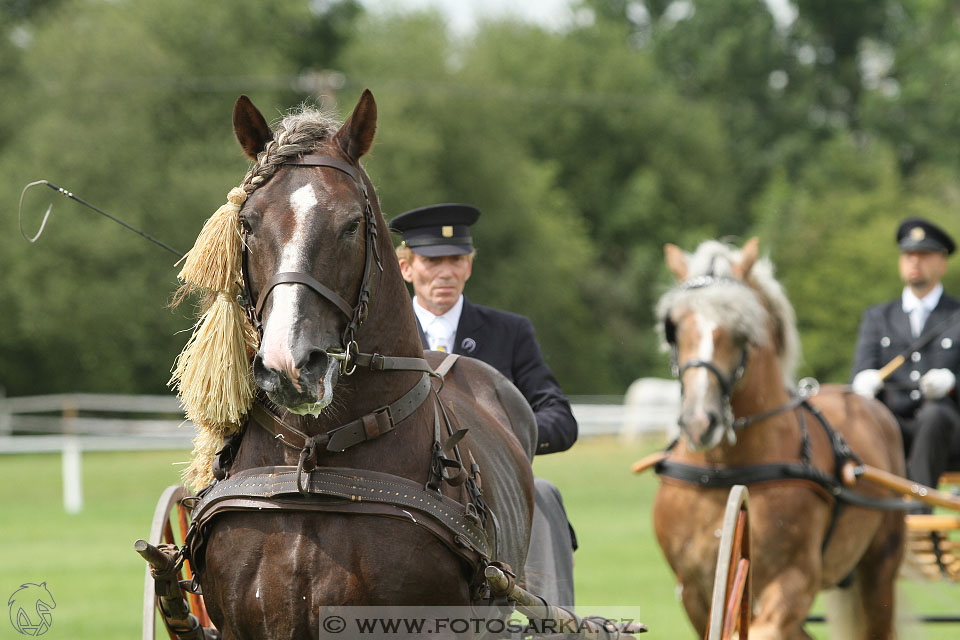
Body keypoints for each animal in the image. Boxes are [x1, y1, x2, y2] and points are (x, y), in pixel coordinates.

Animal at [652, 239, 908, 640]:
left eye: (742, 329)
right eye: (673, 328)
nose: (698, 421)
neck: (723, 470)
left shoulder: (794, 581)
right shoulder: (694, 590)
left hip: (879, 569)